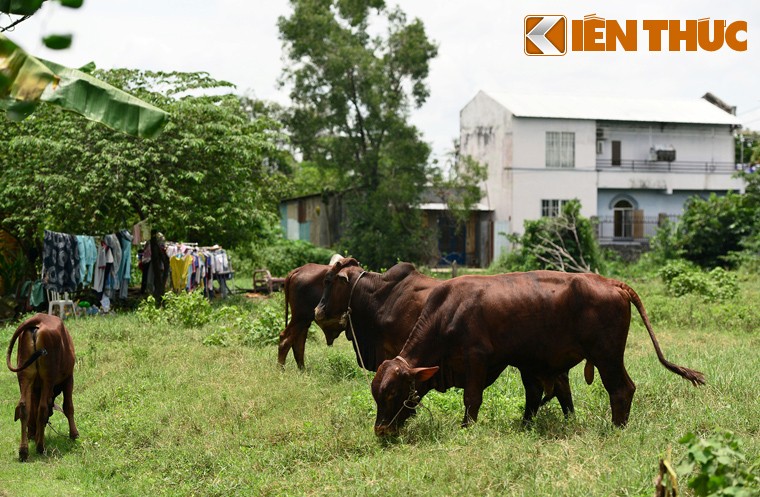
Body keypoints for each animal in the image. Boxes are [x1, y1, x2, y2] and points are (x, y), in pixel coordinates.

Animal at [6, 312, 78, 460]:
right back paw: (40, 447)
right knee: (43, 408)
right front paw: (74, 434)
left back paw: (24, 450)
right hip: (48, 377)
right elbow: (68, 407)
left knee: (24, 407)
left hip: (24, 374)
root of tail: (38, 318)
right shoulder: (69, 378)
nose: (31, 434)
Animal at [372, 270, 704, 436]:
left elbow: (472, 399)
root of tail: (612, 282)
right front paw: (524, 426)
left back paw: (617, 429)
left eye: (393, 393)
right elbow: (535, 397)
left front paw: (467, 429)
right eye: (377, 394)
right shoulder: (528, 365)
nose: (381, 431)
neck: (447, 312)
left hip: (607, 356)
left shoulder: (476, 360)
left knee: (622, 389)